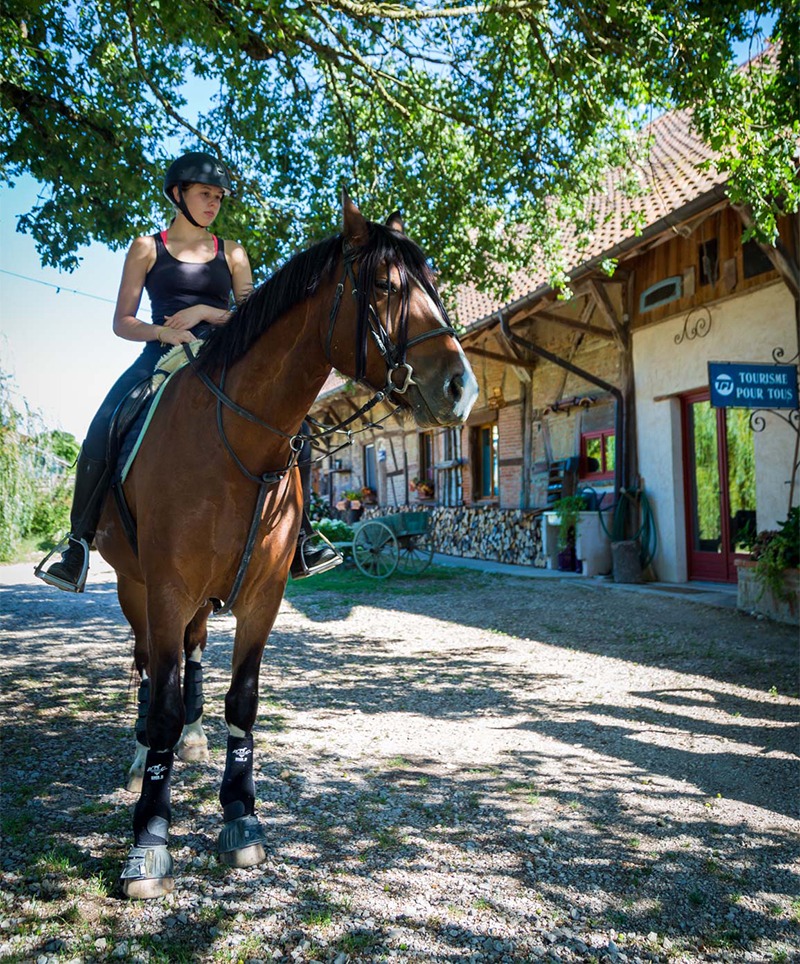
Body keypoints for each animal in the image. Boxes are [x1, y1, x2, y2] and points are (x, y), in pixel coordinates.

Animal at [96, 192, 478, 900]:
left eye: (434, 285)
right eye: (385, 286)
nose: (460, 389)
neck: (239, 443)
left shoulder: (262, 595)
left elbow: (241, 702)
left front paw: (239, 816)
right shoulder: (166, 588)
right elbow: (160, 706)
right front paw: (150, 839)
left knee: (190, 657)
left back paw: (191, 740)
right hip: (135, 588)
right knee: (147, 673)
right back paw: (141, 758)